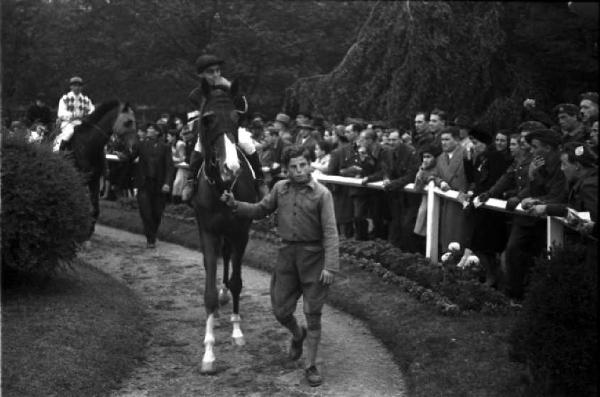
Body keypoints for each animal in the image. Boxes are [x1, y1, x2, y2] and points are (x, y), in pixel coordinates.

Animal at [67, 100, 136, 240]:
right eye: (128, 122)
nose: (131, 150)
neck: (89, 144)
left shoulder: (94, 178)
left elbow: (95, 208)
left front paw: (89, 230)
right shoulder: (82, 178)